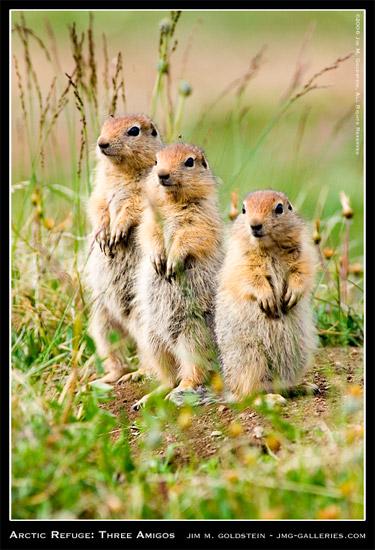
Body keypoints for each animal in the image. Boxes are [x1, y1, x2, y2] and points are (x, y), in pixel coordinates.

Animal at [86, 112, 163, 384]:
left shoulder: (146, 192)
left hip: (145, 320)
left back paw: (137, 374)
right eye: (105, 126)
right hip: (101, 319)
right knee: (114, 349)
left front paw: (118, 230)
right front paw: (102, 234)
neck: (120, 170)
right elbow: (97, 204)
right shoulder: (100, 189)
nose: (101, 143)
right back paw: (107, 377)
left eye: (133, 131)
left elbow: (134, 206)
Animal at [131, 142, 223, 410]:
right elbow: (148, 233)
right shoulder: (149, 218)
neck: (172, 202)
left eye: (189, 162)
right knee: (168, 376)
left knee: (193, 374)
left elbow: (191, 236)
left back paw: (181, 391)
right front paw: (157, 259)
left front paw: (172, 262)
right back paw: (147, 398)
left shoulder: (202, 218)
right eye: (156, 161)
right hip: (151, 339)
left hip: (192, 337)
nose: (162, 175)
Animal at [216, 190, 318, 402]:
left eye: (279, 208)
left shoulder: (303, 253)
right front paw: (268, 300)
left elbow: (302, 272)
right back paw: (271, 399)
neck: (270, 247)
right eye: (243, 209)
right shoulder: (241, 260)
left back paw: (302, 386)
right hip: (250, 356)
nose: (254, 225)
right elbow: (250, 278)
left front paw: (291, 296)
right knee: (248, 394)